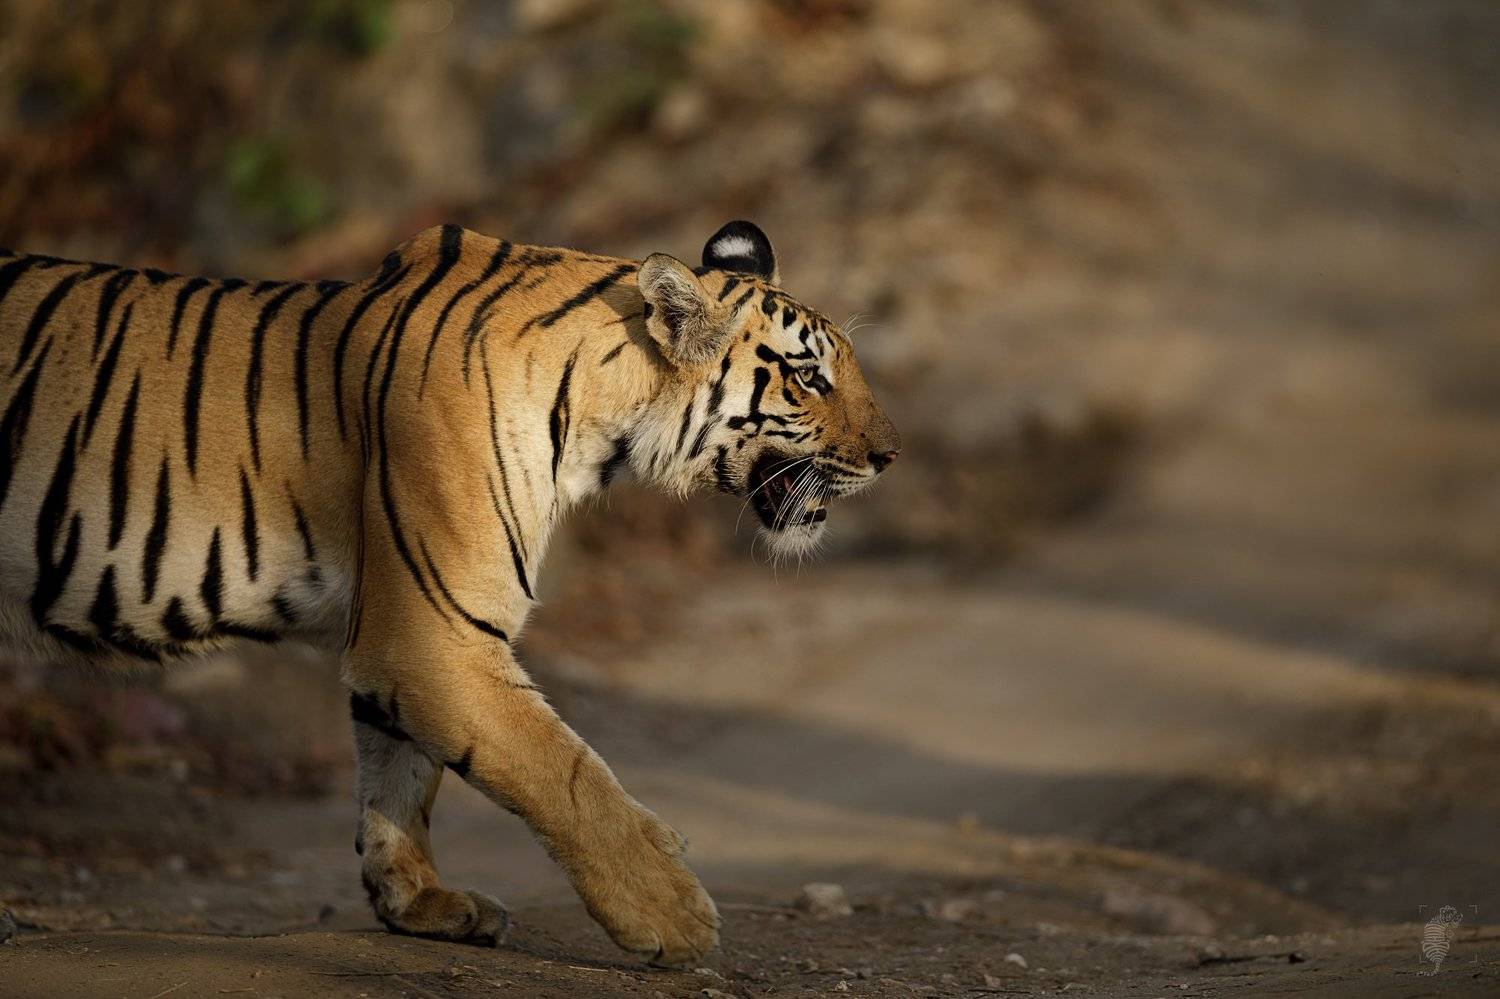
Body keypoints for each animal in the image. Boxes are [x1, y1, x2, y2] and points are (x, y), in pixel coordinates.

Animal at [0, 219, 900, 964]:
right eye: (809, 377)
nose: (891, 455)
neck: (600, 417)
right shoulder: (434, 636)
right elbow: (567, 774)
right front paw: (674, 915)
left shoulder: (407, 638)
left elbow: (398, 774)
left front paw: (419, 902)